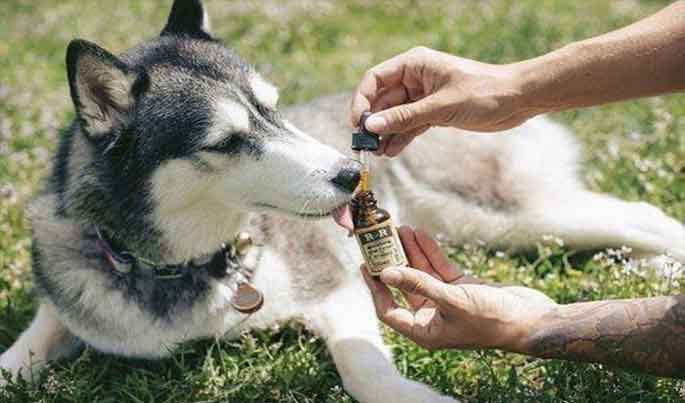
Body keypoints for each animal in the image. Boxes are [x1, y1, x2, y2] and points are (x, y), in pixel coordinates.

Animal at [1, 0, 684, 403]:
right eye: (225, 141)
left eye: (273, 108)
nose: (351, 172)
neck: (184, 267)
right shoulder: (71, 293)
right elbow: (24, 350)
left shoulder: (336, 283)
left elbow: (362, 367)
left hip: (505, 214)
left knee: (642, 215)